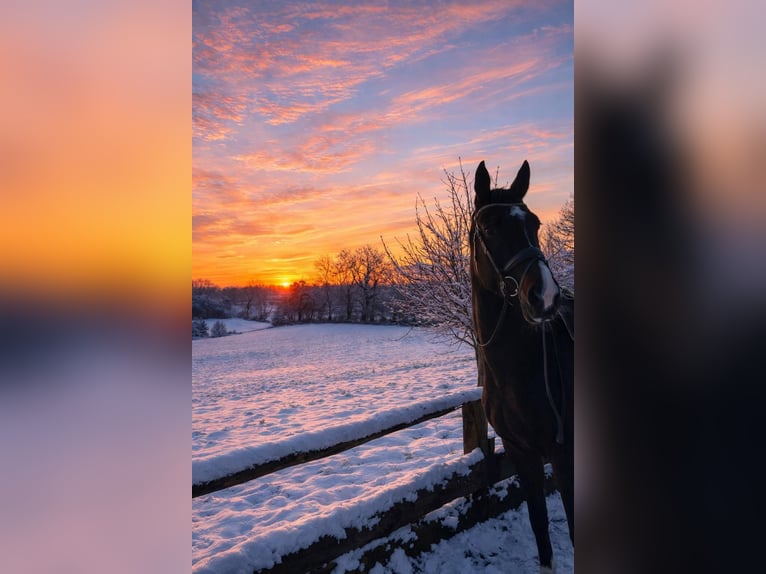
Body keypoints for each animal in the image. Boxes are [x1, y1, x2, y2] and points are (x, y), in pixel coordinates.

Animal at [470, 159, 574, 573]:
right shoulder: (522, 456)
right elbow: (540, 528)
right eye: (488, 228)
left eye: (535, 223)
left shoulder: (565, 457)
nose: (544, 296)